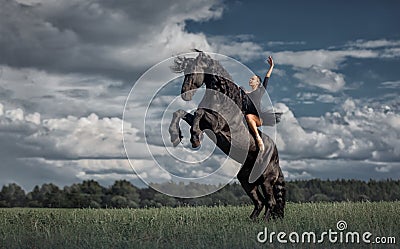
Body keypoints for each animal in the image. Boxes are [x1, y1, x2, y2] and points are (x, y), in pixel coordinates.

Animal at [168, 51, 284, 220]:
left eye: (193, 71)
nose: (185, 95)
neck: (221, 99)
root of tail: (276, 157)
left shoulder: (215, 125)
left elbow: (199, 112)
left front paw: (195, 139)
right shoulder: (205, 124)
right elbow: (181, 113)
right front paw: (175, 137)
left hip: (266, 179)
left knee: (271, 202)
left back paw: (264, 221)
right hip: (246, 179)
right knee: (260, 202)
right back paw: (251, 221)